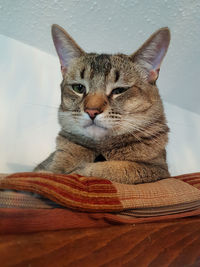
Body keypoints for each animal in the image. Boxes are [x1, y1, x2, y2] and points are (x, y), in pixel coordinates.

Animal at [34, 24, 170, 185]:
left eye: (119, 90)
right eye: (78, 88)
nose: (91, 111)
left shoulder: (159, 170)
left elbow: (115, 168)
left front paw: (80, 170)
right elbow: (50, 170)